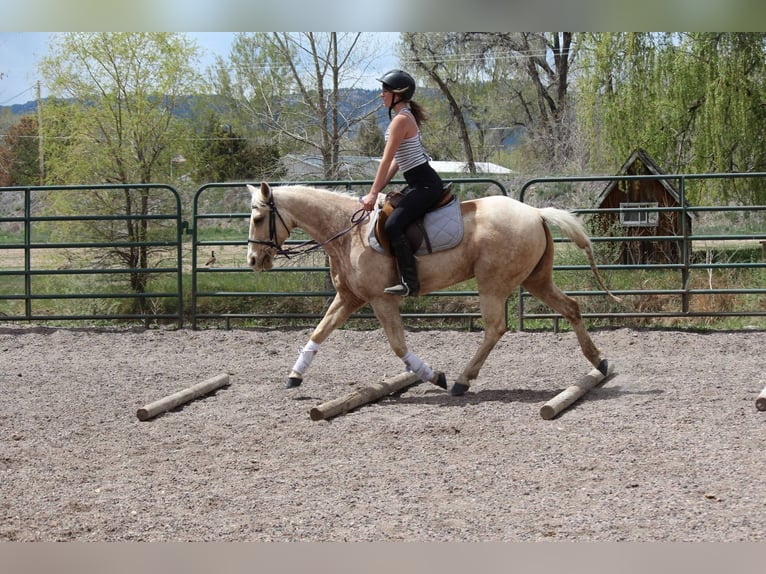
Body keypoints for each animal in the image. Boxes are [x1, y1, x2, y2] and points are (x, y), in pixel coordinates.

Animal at [246, 182, 618, 396]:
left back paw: (461, 381)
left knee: (495, 328)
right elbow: (319, 332)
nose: (252, 260)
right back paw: (599, 362)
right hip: (536, 280)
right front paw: (294, 376)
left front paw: (434, 376)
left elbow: (398, 346)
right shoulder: (349, 298)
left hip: (493, 284)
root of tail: (536, 212)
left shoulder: (381, 299)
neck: (348, 233)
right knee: (570, 308)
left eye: (258, 218)